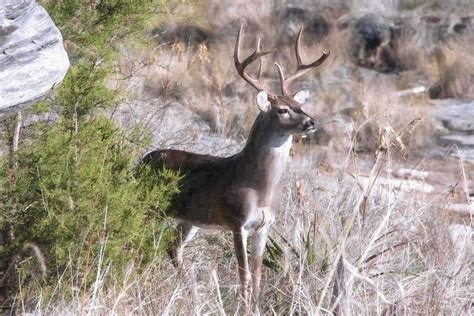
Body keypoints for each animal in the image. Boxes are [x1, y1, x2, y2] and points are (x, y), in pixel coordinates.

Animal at [141, 24, 330, 304]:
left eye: (299, 105)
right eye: (282, 110)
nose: (312, 122)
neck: (260, 188)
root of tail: (141, 160)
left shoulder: (265, 225)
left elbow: (258, 275)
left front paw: (255, 305)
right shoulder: (236, 221)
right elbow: (244, 275)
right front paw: (243, 304)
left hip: (189, 219)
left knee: (172, 248)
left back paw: (191, 293)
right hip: (151, 206)